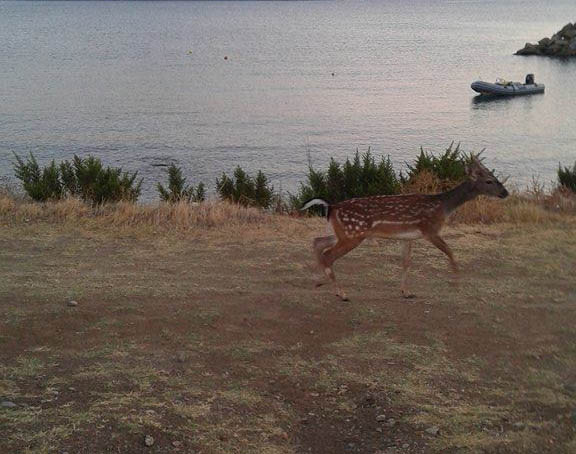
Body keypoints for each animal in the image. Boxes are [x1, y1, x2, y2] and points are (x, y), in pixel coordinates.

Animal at [302, 156, 508, 302]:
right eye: (489, 181)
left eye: (495, 177)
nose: (505, 193)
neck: (443, 207)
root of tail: (331, 207)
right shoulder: (430, 229)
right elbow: (450, 252)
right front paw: (457, 285)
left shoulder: (408, 237)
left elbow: (406, 262)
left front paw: (406, 292)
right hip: (353, 233)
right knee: (328, 254)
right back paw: (341, 293)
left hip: (343, 233)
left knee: (318, 242)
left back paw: (320, 281)